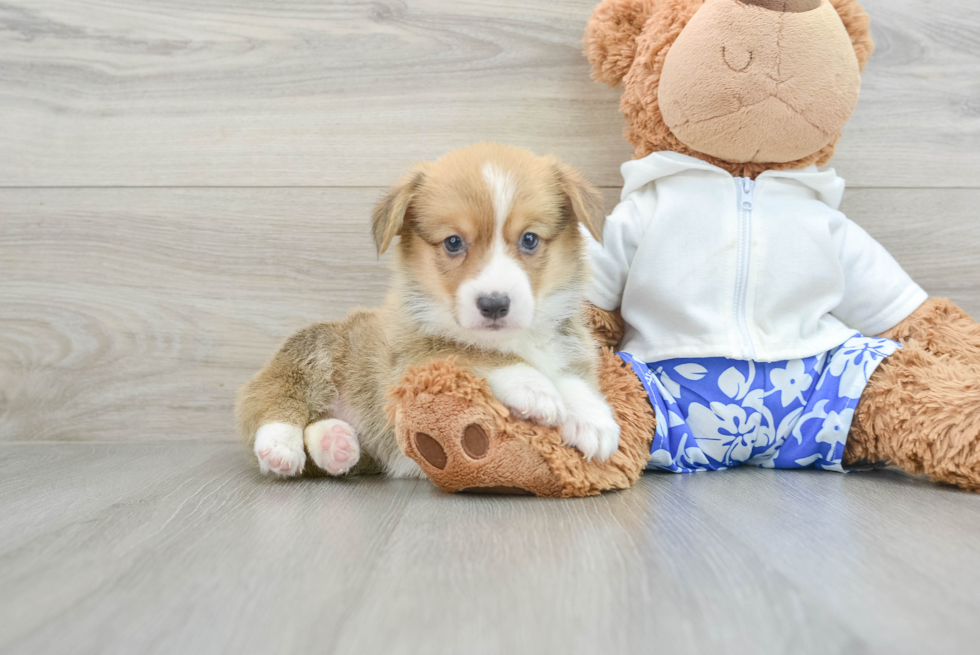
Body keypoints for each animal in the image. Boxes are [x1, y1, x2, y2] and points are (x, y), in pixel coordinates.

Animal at [237, 144, 620, 480]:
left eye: (529, 239)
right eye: (453, 242)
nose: (494, 304)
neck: (516, 338)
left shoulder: (571, 345)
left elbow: (572, 377)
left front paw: (594, 419)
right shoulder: (412, 360)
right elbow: (471, 350)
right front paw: (534, 387)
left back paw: (336, 444)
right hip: (312, 350)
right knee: (273, 401)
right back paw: (280, 447)